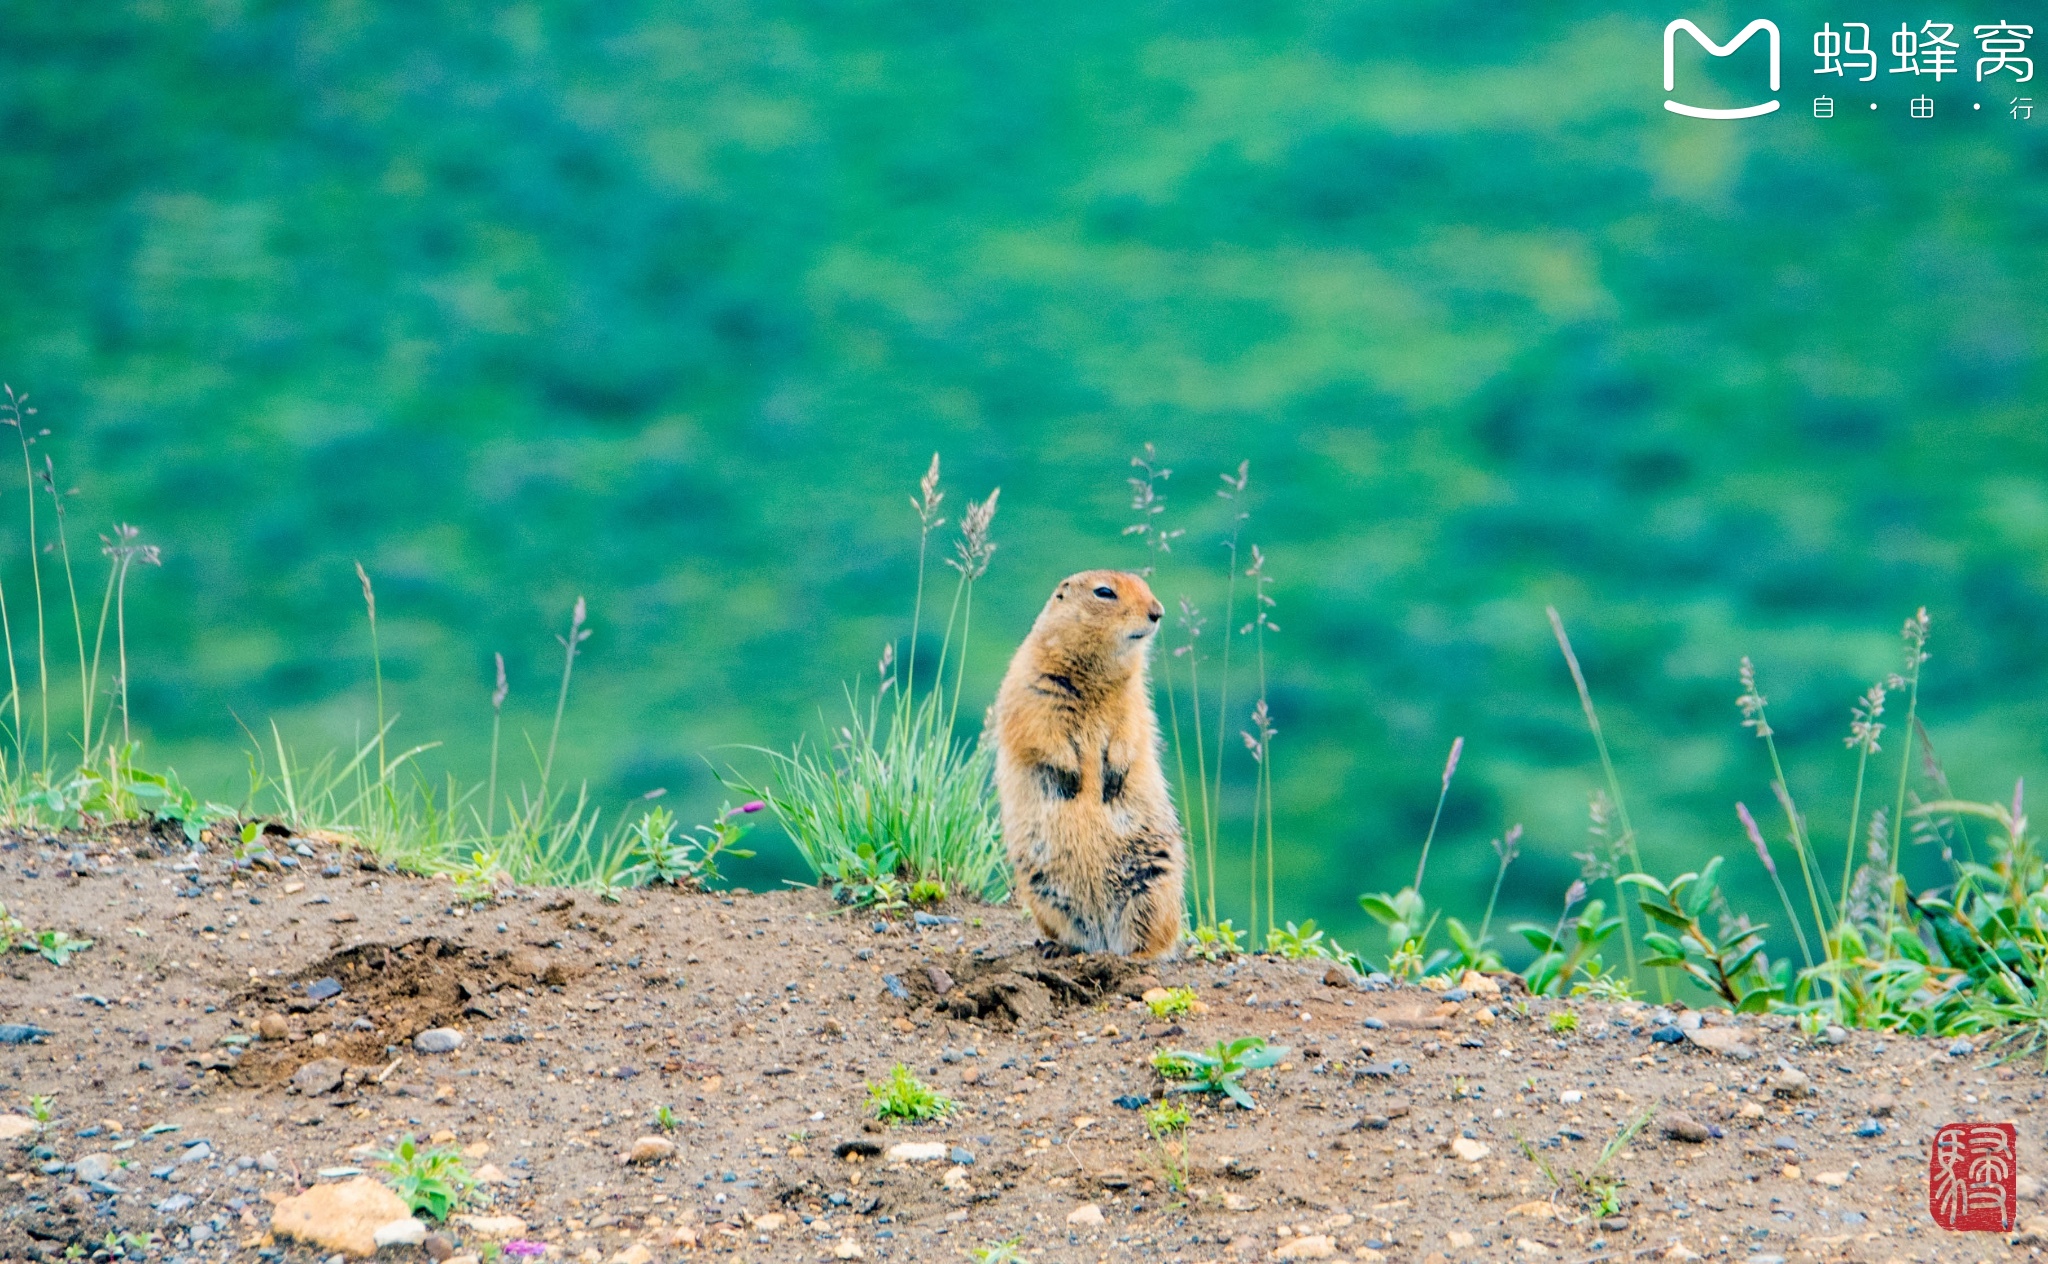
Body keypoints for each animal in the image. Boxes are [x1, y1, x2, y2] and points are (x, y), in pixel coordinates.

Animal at [991, 573, 1187, 954]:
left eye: (1145, 584)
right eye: (1104, 592)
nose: (1158, 612)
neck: (1097, 674)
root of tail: (1105, 940)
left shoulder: (1135, 699)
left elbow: (1132, 731)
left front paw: (1113, 776)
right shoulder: (1031, 684)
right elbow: (1040, 732)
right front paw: (1070, 776)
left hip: (1155, 883)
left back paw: (1138, 955)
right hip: (1042, 892)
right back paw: (1060, 947)